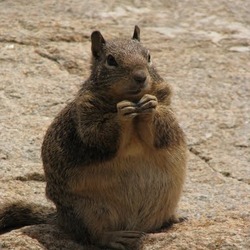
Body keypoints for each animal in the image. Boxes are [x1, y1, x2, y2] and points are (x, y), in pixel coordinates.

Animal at [0, 25, 188, 250]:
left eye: (149, 56)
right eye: (111, 60)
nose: (141, 76)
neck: (133, 103)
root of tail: (60, 218)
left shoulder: (166, 107)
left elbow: (163, 128)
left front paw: (150, 105)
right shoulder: (87, 116)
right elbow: (99, 135)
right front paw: (122, 113)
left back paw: (175, 218)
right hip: (86, 211)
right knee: (91, 236)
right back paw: (116, 237)